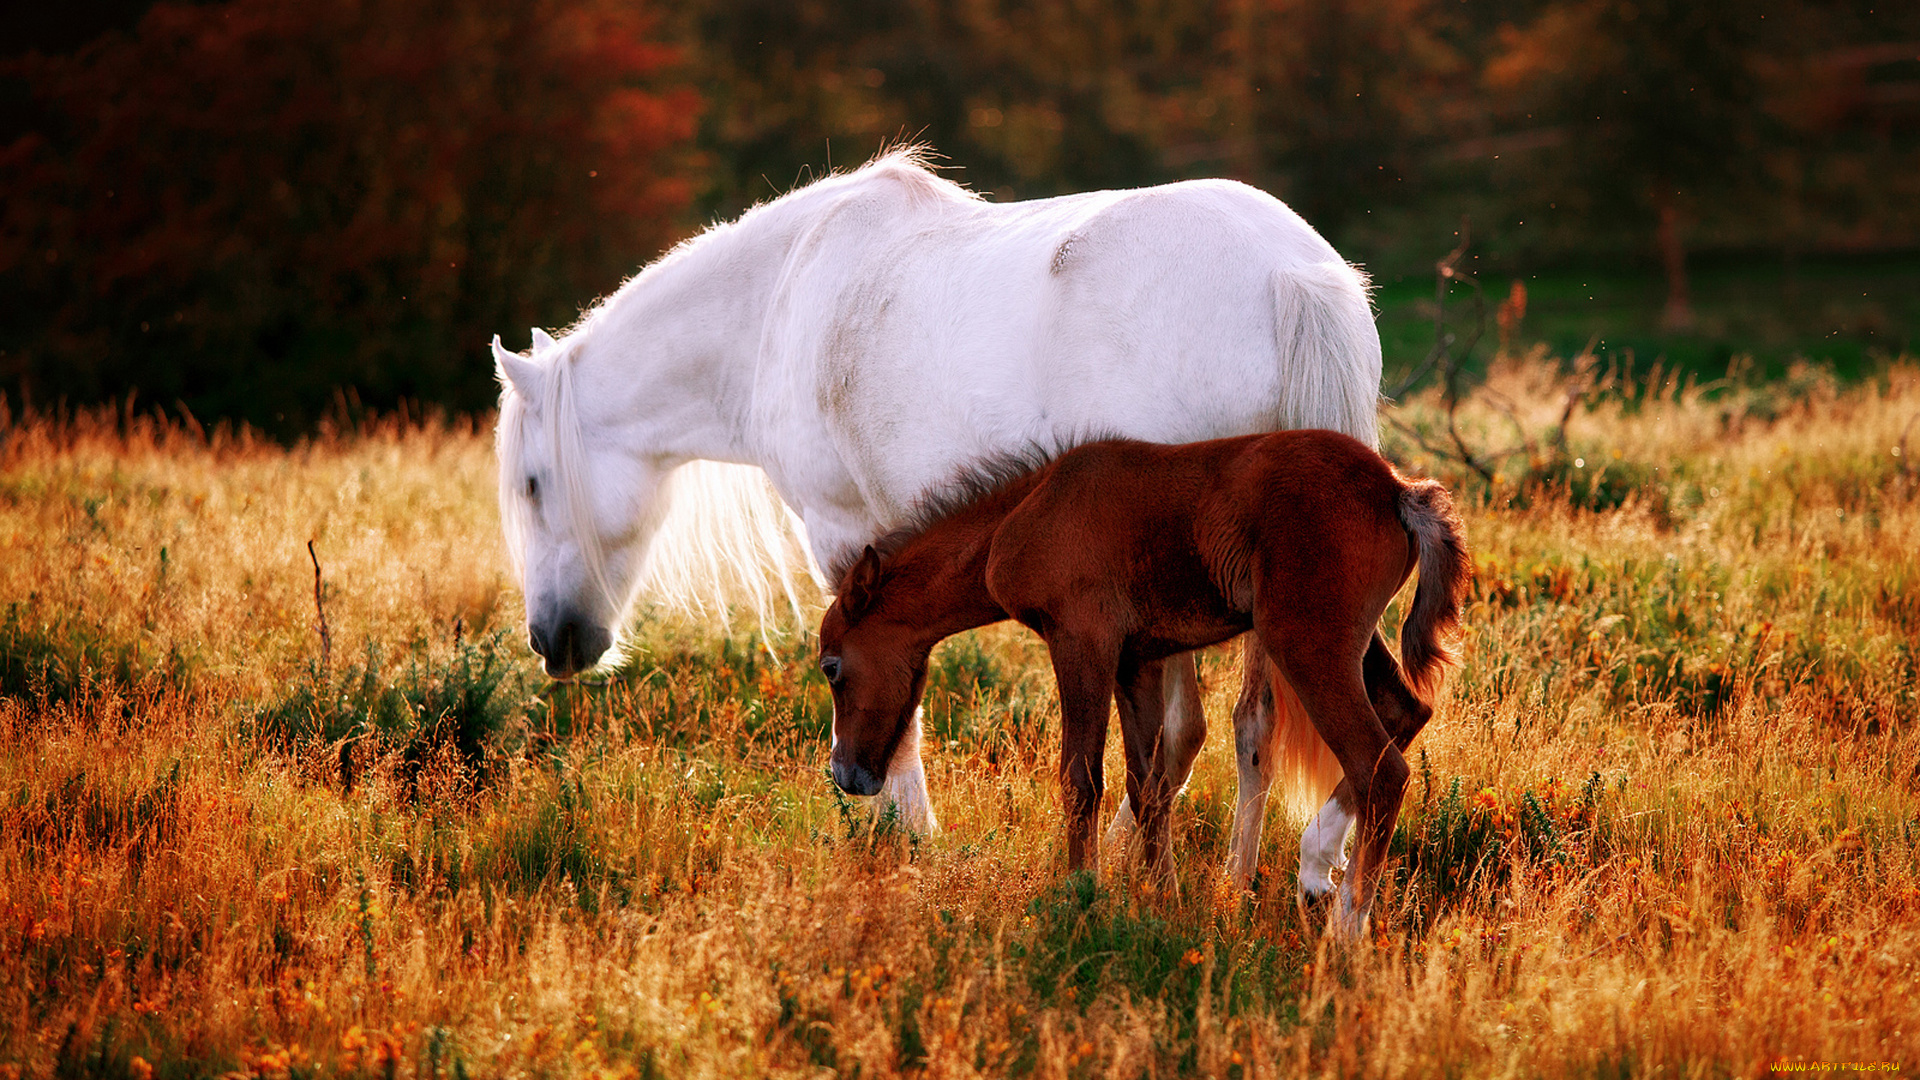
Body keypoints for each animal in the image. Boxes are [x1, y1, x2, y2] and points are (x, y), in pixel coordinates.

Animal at [487, 147, 1374, 891]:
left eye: (531, 484)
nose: (551, 642)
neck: (780, 302)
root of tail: (1288, 275)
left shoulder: (845, 537)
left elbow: (887, 686)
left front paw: (903, 831)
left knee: (1197, 732)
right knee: (1246, 727)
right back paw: (1248, 873)